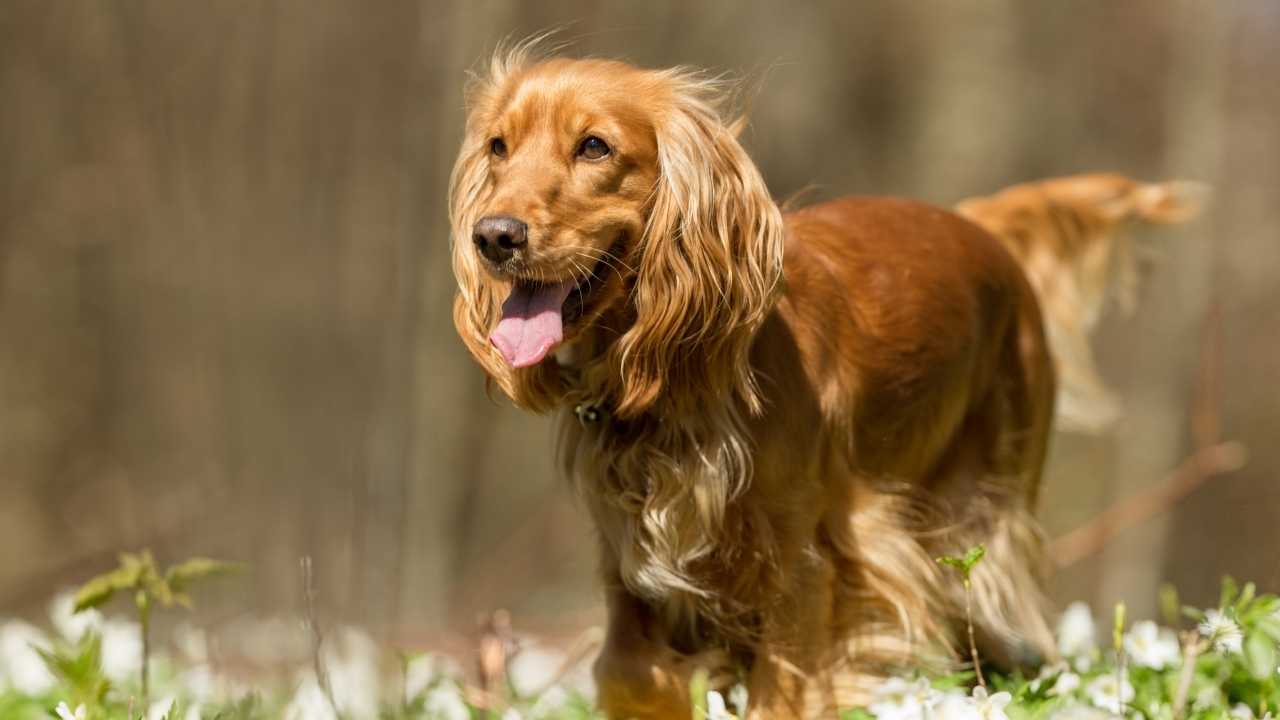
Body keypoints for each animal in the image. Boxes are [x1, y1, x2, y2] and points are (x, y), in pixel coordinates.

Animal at [445, 46, 1192, 717]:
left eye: (595, 147)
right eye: (498, 147)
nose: (494, 236)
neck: (673, 388)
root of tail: (979, 224)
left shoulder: (802, 568)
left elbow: (783, 694)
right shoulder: (631, 570)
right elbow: (634, 674)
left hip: (980, 523)